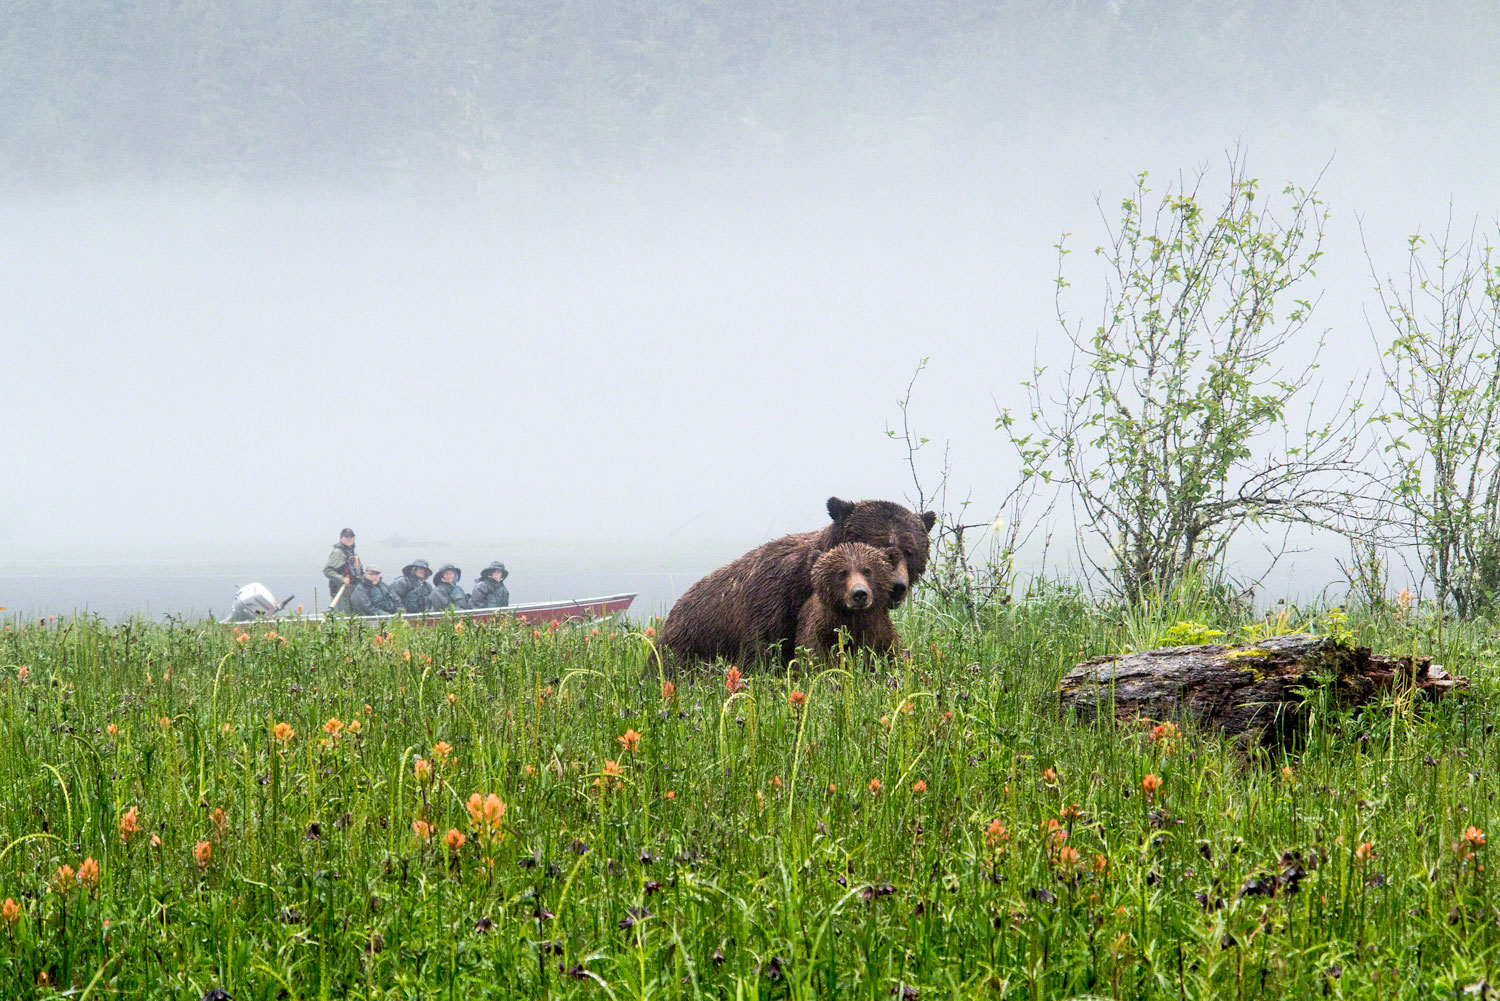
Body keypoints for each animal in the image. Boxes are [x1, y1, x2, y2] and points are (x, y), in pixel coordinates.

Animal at [663, 495, 930, 666]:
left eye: (910, 551)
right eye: (879, 543)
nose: (897, 587)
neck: (806, 582)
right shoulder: (771, 603)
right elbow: (761, 656)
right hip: (688, 645)